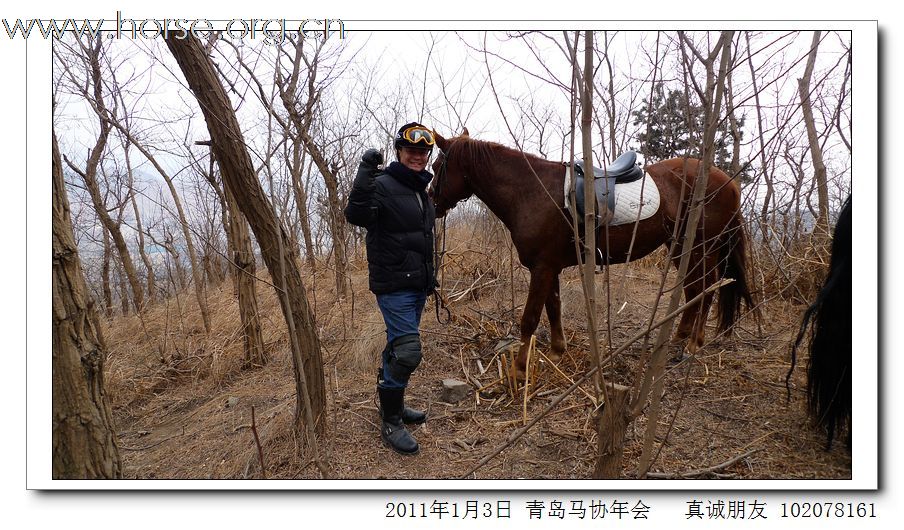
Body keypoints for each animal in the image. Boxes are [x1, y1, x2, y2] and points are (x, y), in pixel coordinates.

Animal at [430, 129, 756, 378]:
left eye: (436, 168)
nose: (432, 201)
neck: (532, 190)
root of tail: (729, 183)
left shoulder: (542, 267)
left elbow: (531, 317)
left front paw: (520, 369)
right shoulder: (549, 267)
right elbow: (554, 308)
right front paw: (557, 353)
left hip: (704, 248)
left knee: (707, 288)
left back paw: (693, 344)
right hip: (679, 248)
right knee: (693, 290)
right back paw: (679, 339)